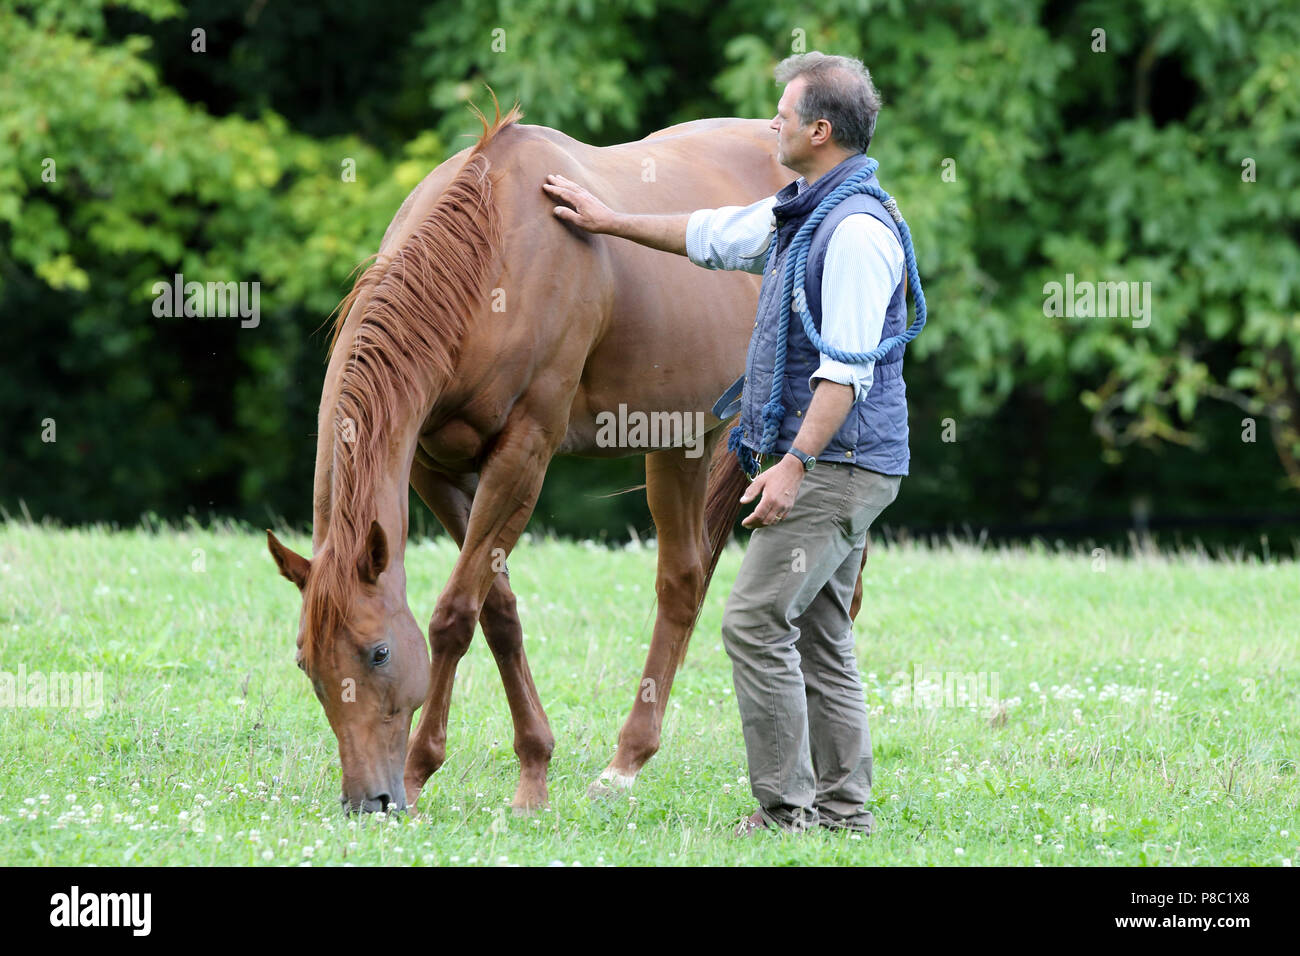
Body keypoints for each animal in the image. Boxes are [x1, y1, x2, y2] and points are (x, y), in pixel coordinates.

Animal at [265, 97, 873, 816]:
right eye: (307, 665)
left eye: (380, 653)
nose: (370, 801)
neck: (488, 252)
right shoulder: (434, 468)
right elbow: (496, 610)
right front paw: (533, 765)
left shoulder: (524, 451)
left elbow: (453, 615)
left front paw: (420, 768)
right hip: (680, 444)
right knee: (684, 581)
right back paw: (628, 761)